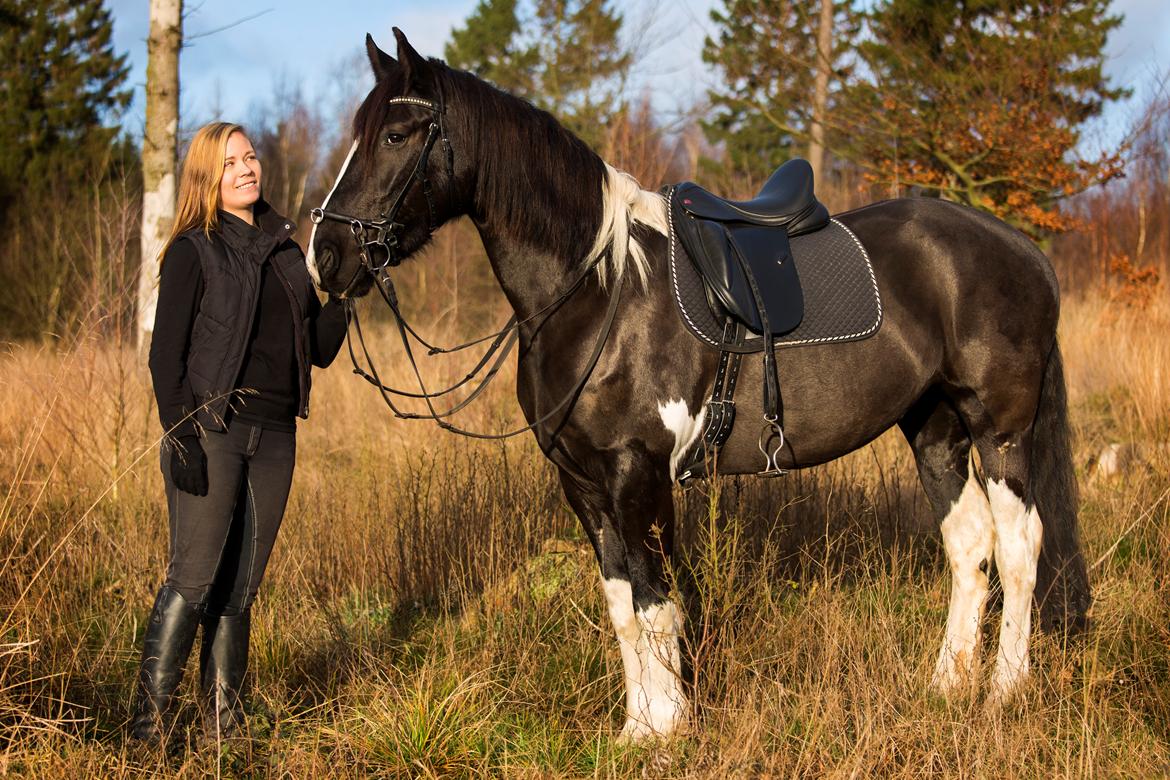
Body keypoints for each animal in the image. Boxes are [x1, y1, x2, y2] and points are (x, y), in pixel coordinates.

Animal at [301, 28, 1085, 739]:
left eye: (396, 133)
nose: (325, 256)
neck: (599, 287)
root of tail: (1022, 249)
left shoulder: (637, 475)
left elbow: (656, 605)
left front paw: (670, 729)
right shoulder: (584, 484)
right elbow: (624, 607)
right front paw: (637, 730)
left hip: (1000, 429)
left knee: (1020, 547)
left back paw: (1004, 692)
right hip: (934, 426)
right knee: (969, 543)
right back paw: (947, 684)